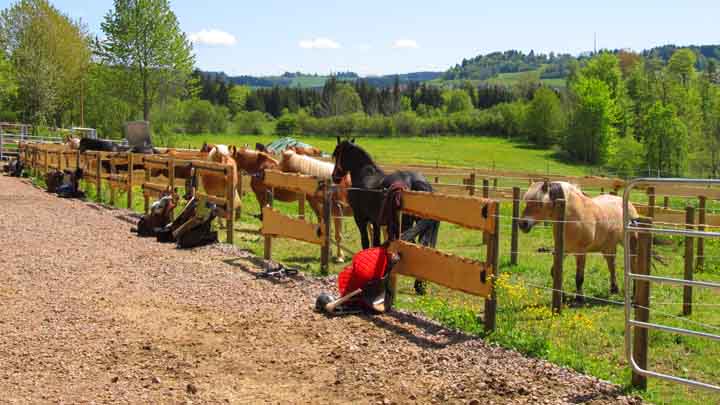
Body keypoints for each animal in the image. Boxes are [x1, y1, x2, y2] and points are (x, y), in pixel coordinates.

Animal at [332, 138, 438, 294]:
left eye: (337, 154)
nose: (334, 176)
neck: (364, 174)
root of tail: (415, 181)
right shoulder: (376, 222)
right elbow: (375, 242)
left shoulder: (361, 219)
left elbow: (365, 241)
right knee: (423, 246)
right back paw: (420, 285)